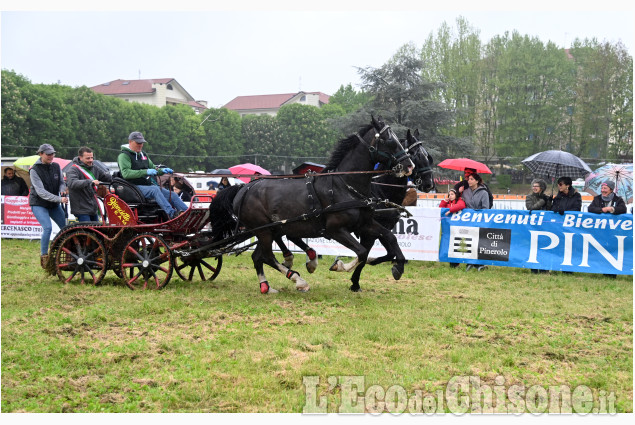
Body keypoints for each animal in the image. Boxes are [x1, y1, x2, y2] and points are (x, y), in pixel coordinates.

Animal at [209, 116, 414, 292]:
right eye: (390, 140)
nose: (409, 166)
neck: (344, 186)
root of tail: (243, 188)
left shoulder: (365, 224)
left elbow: (390, 237)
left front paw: (398, 266)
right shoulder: (336, 230)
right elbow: (362, 252)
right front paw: (339, 265)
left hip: (270, 230)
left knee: (259, 256)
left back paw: (268, 285)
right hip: (264, 231)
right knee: (266, 256)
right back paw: (297, 279)